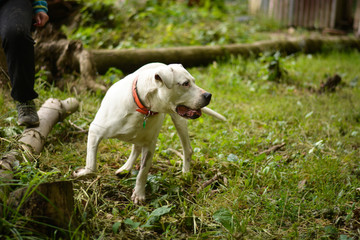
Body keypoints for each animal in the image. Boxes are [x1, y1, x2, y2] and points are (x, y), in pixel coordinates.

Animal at [73, 62, 225, 203]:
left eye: (193, 81)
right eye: (185, 83)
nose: (208, 95)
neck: (142, 107)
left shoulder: (150, 145)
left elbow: (143, 172)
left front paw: (139, 194)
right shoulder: (95, 131)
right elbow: (91, 166)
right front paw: (83, 174)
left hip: (179, 122)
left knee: (187, 149)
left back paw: (185, 173)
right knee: (136, 147)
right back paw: (126, 168)